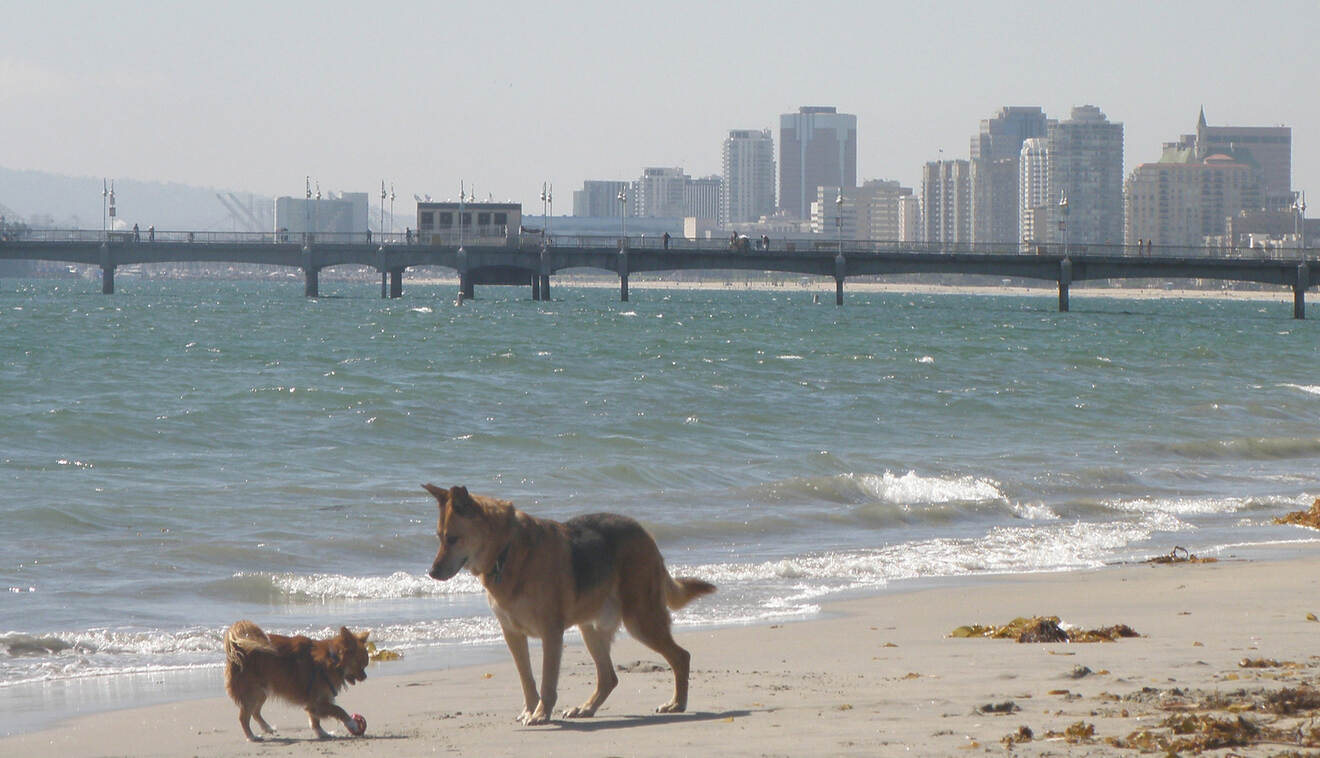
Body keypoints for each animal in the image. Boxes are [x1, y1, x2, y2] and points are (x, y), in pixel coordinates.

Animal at [220, 623, 366, 744]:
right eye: (360, 665)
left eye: (365, 665)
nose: (365, 677)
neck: (332, 659)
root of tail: (237, 647)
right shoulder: (317, 702)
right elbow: (339, 710)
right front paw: (352, 723)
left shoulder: (313, 703)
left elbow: (315, 720)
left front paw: (322, 733)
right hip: (253, 692)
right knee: (243, 717)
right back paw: (251, 736)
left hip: (261, 692)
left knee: (255, 712)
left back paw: (267, 728)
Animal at [425, 483, 718, 728]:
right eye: (438, 537)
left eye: (452, 538)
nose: (431, 572)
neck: (506, 551)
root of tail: (644, 532)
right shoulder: (513, 634)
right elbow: (527, 679)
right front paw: (530, 710)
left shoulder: (551, 633)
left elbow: (547, 680)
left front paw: (541, 714)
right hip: (591, 629)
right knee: (609, 677)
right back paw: (586, 708)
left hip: (641, 620)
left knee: (681, 657)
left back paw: (677, 704)